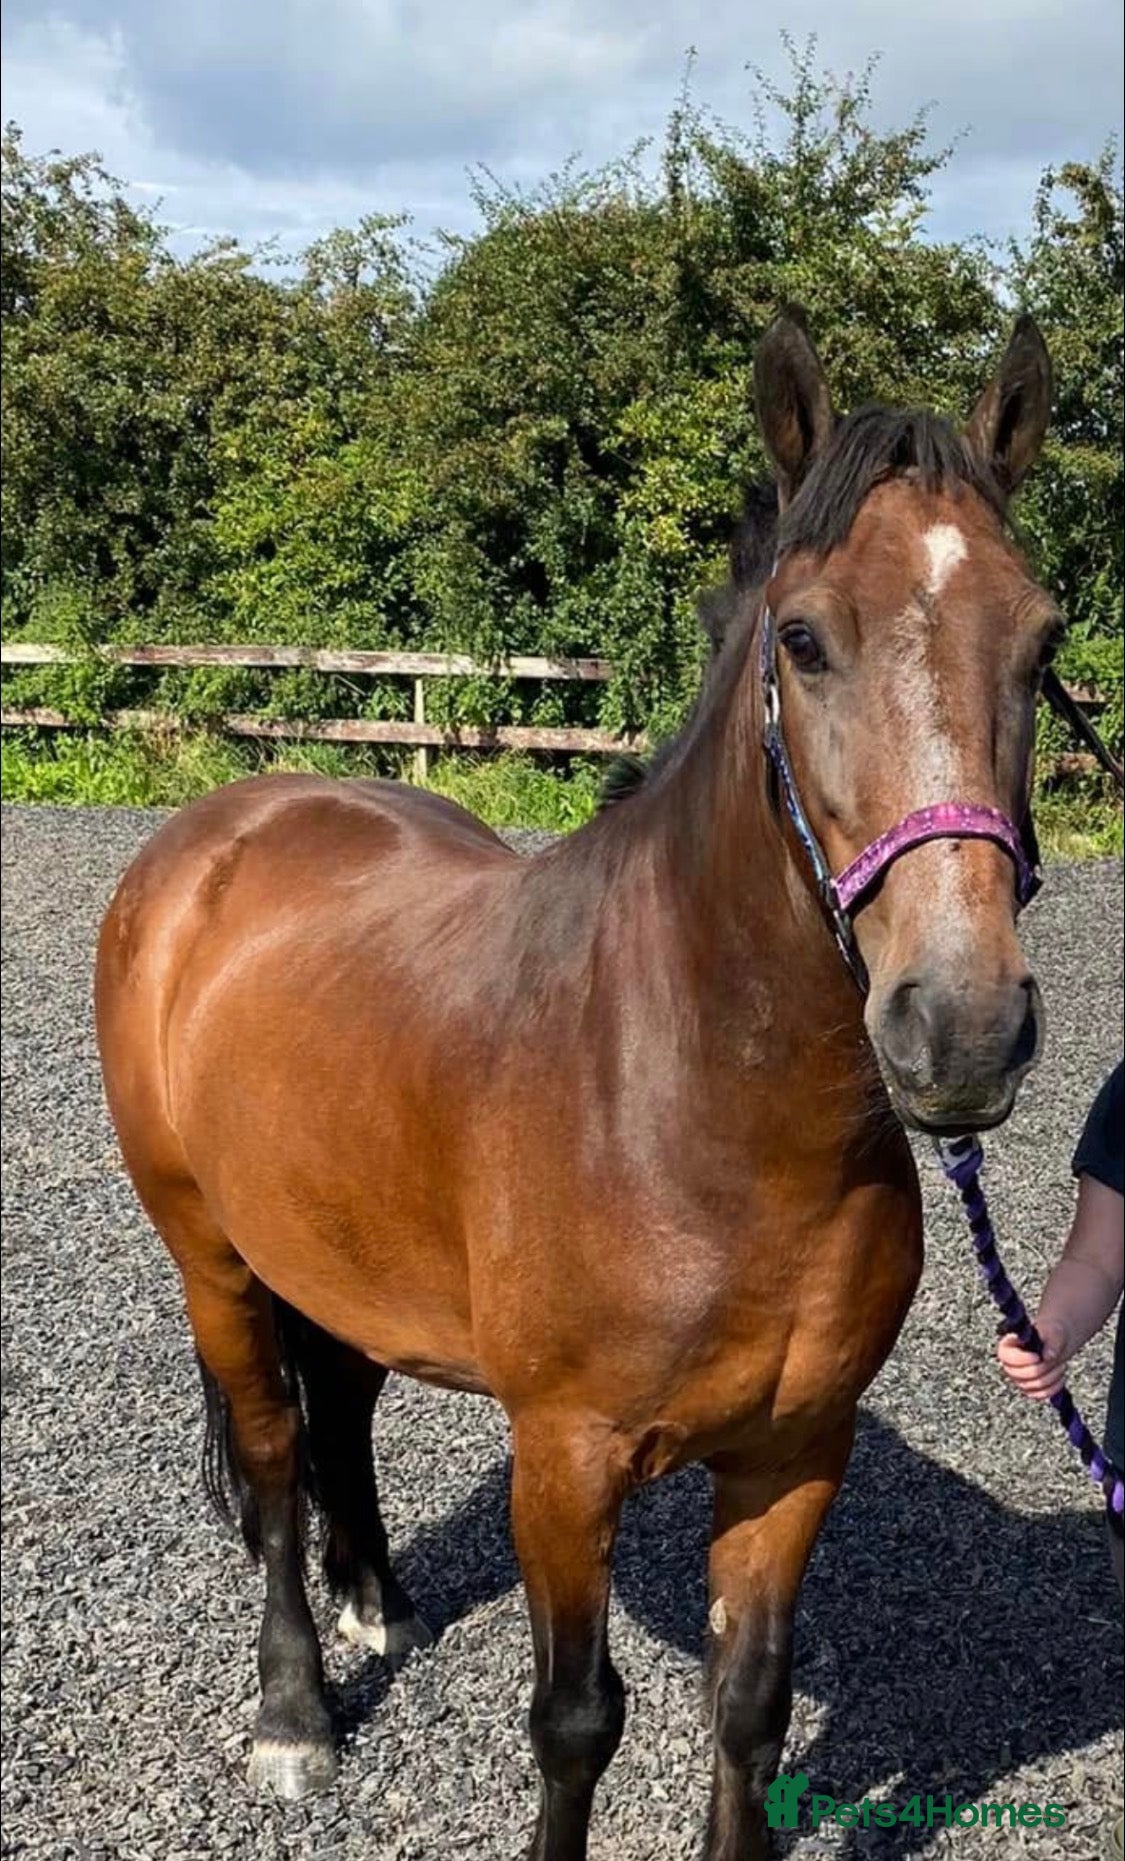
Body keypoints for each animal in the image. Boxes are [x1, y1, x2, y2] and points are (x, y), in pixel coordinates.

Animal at [95, 305, 1059, 1861]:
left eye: (1043, 640)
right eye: (803, 639)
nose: (961, 1029)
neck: (695, 1113)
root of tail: (216, 832)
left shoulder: (796, 1455)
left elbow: (751, 1703)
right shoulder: (563, 1463)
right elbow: (573, 1723)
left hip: (336, 1241)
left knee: (341, 1402)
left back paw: (377, 1598)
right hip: (211, 1258)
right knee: (274, 1450)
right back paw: (296, 1711)